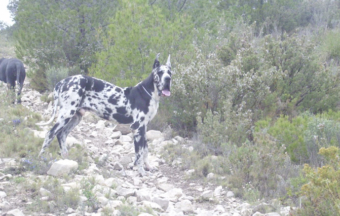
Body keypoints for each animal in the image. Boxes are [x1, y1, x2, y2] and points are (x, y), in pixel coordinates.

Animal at [37, 54, 173, 176]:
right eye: (160, 72)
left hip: (75, 118)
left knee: (61, 135)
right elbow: (139, 153)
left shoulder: (144, 128)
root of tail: (62, 82)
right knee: (50, 133)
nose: (168, 79)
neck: (148, 92)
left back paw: (66, 158)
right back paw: (40, 158)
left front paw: (148, 166)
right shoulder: (138, 128)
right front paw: (141, 171)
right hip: (66, 115)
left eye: (170, 73)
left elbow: (145, 150)